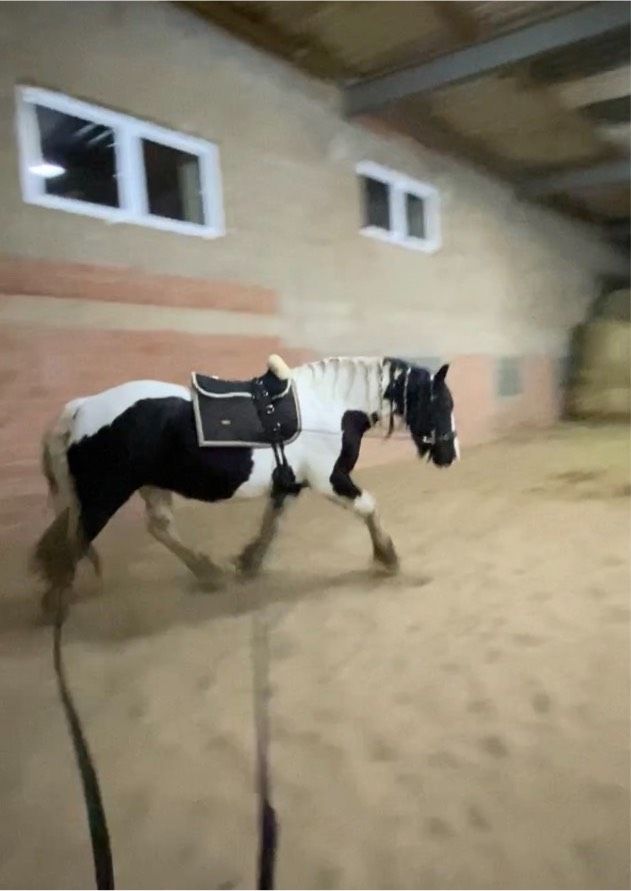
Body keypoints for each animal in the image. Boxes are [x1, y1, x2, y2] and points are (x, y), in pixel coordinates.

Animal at [32, 352, 460, 616]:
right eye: (443, 404)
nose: (450, 454)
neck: (329, 406)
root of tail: (81, 408)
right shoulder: (331, 480)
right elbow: (369, 506)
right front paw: (388, 557)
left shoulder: (291, 483)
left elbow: (272, 524)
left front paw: (248, 561)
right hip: (104, 495)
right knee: (77, 541)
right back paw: (56, 601)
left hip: (149, 485)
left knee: (159, 527)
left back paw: (207, 571)